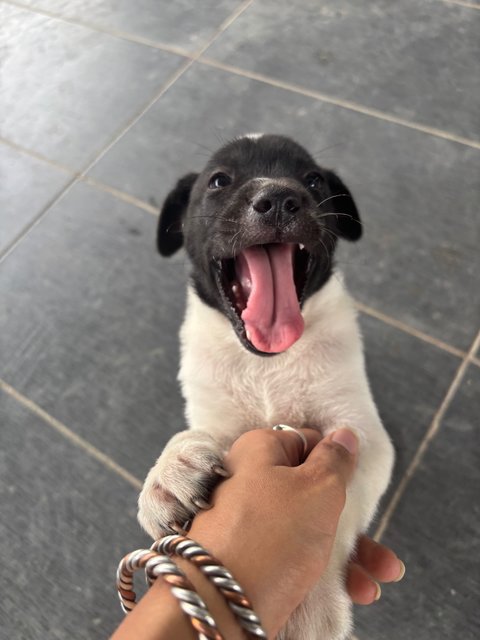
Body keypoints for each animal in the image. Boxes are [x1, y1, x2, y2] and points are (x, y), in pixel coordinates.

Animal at [138, 135, 394, 640]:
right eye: (219, 181)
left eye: (313, 180)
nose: (278, 198)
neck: (265, 368)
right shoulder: (219, 419)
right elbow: (193, 436)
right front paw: (169, 470)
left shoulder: (360, 437)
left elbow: (338, 504)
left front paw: (308, 604)